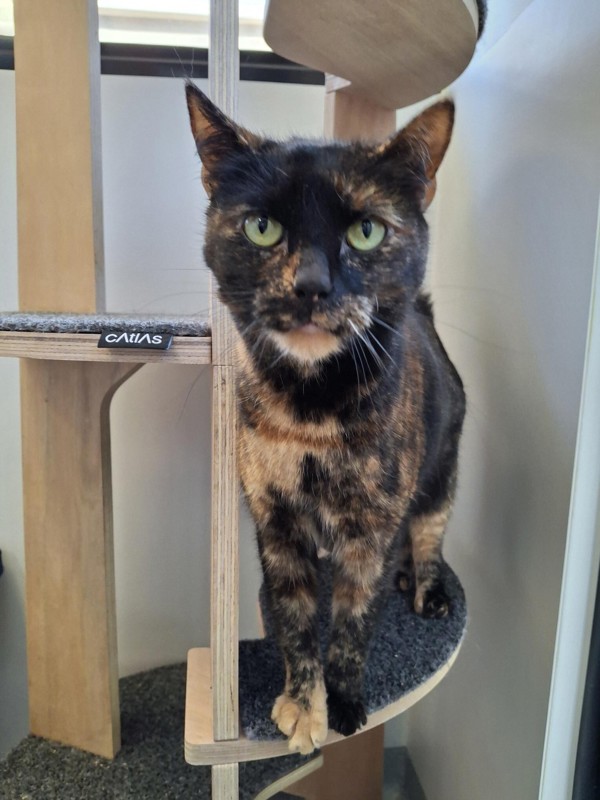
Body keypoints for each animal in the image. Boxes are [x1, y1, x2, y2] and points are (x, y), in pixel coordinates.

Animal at [186, 83, 465, 755]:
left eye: (365, 231)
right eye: (262, 227)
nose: (311, 284)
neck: (309, 414)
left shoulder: (372, 530)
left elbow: (353, 623)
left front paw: (344, 705)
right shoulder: (276, 525)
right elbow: (293, 617)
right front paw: (301, 703)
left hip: (443, 471)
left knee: (430, 533)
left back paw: (427, 589)